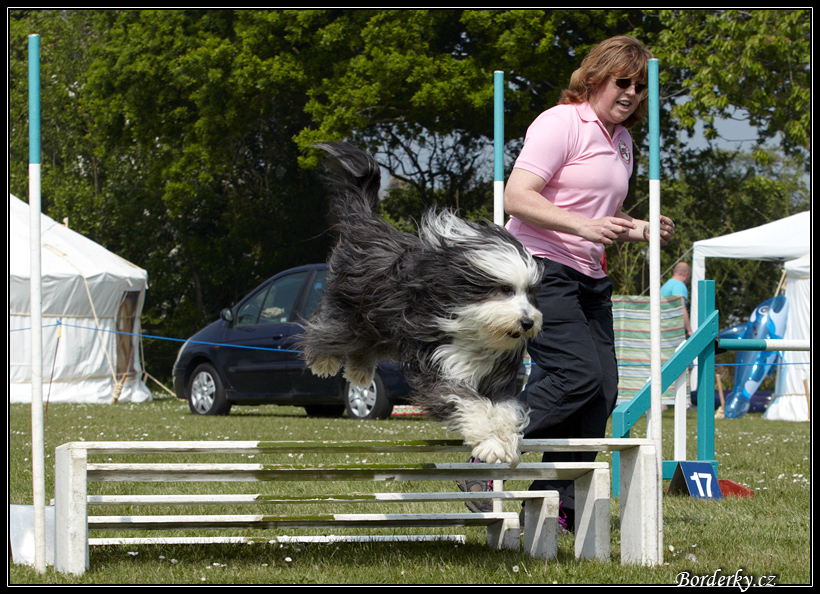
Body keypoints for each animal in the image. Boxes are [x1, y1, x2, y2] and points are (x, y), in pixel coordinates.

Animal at [299, 142, 543, 465]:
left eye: (530, 292)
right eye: (504, 289)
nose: (527, 322)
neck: (472, 328)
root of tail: (369, 227)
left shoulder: (498, 377)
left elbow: (505, 409)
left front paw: (504, 441)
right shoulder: (440, 363)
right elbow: (466, 402)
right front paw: (490, 443)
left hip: (381, 326)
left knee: (366, 347)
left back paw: (359, 371)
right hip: (350, 313)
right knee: (327, 329)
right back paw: (323, 360)